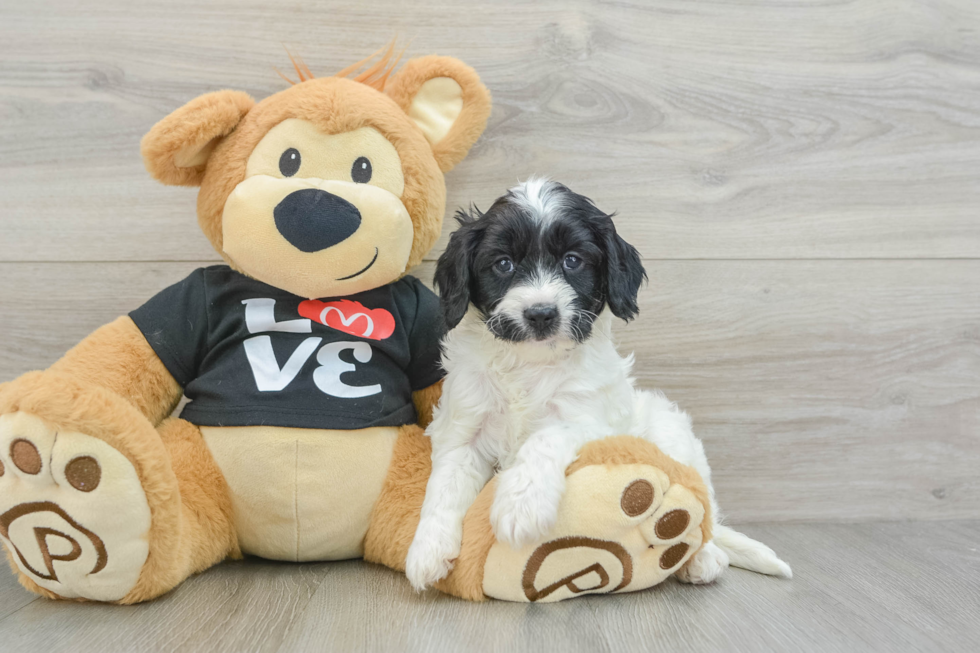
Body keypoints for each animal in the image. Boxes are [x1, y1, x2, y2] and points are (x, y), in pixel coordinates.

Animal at [402, 180, 792, 592]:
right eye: (503, 264)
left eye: (573, 260)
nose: (541, 314)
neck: (531, 364)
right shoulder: (464, 425)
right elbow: (445, 485)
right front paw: (427, 550)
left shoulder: (591, 420)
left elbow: (546, 436)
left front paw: (521, 503)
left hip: (670, 432)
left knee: (703, 511)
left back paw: (703, 557)